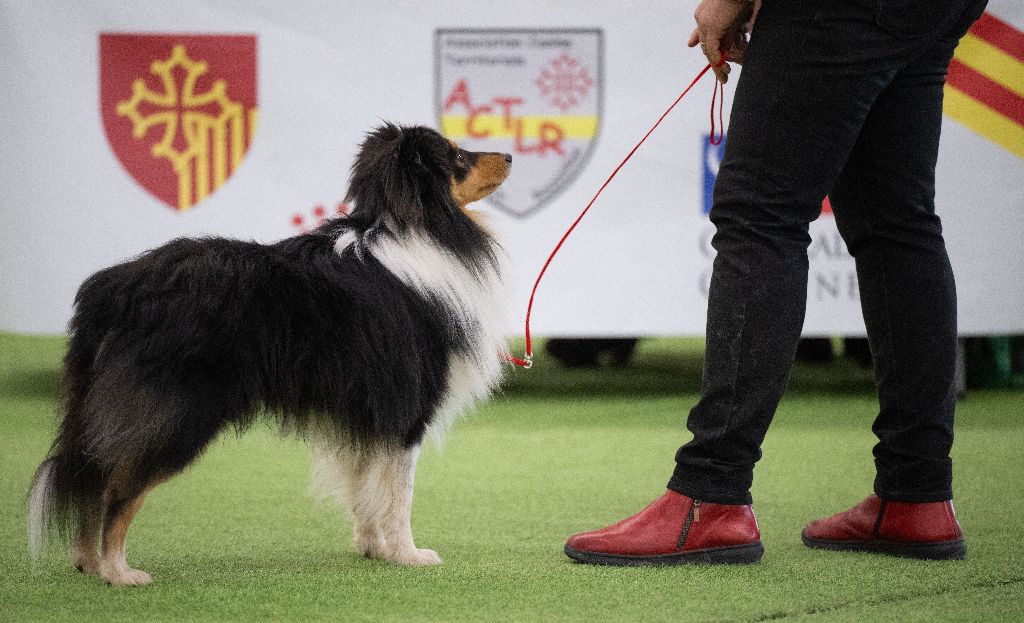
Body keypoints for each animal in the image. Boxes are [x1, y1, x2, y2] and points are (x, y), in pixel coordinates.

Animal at [27, 125, 512, 582]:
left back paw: (88, 563)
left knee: (91, 478)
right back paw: (119, 573)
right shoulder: (407, 408)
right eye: (457, 156)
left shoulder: (368, 412)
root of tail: (114, 289)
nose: (509, 155)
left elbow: (365, 486)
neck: (422, 227)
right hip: (177, 411)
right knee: (118, 488)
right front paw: (409, 556)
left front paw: (373, 549)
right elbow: (398, 493)